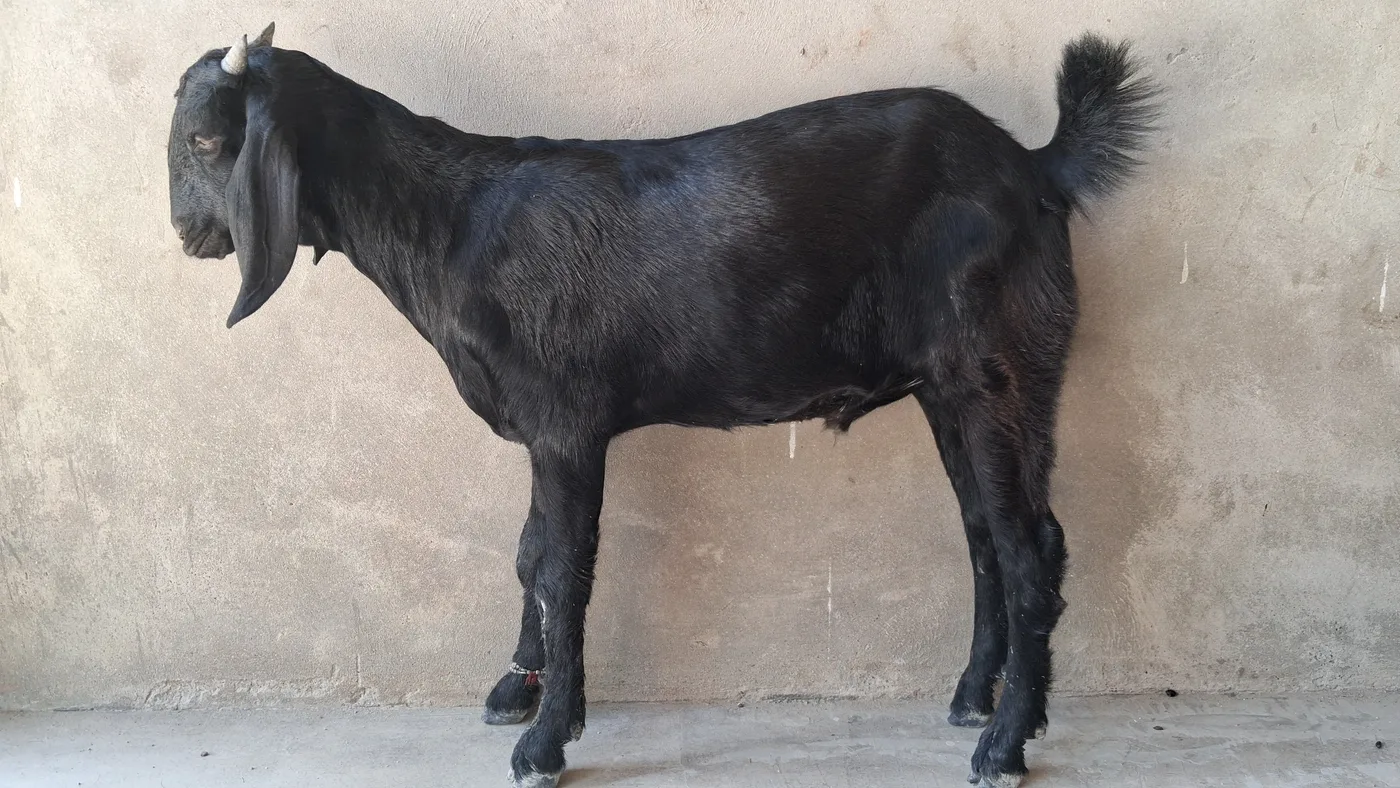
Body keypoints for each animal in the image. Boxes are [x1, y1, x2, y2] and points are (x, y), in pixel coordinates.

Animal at [167, 23, 1158, 788]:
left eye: (210, 141)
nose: (187, 233)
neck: (452, 223)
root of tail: (1034, 165)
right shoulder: (549, 434)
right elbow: (528, 551)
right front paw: (516, 689)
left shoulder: (567, 423)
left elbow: (561, 567)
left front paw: (545, 741)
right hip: (946, 388)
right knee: (984, 534)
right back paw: (971, 698)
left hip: (1000, 367)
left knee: (1030, 544)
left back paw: (1005, 743)